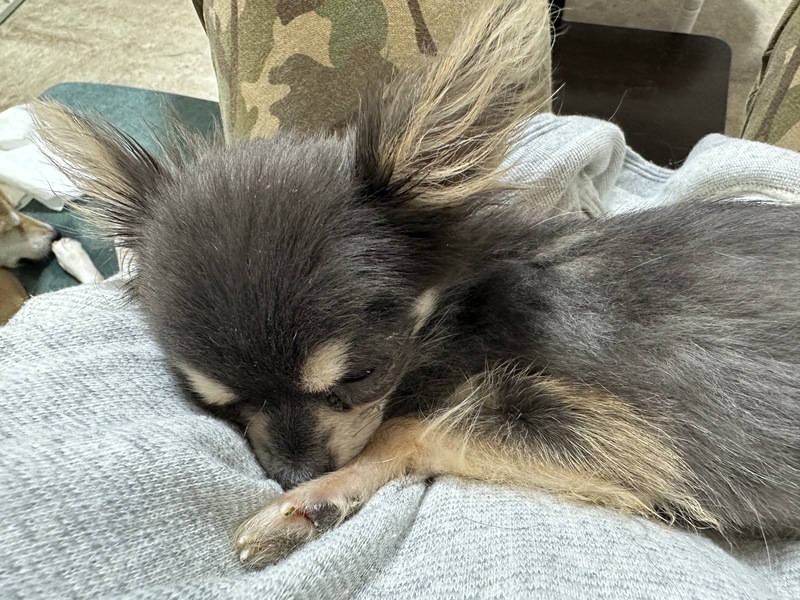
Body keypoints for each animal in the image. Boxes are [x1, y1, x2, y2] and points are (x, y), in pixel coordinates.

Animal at [34, 0, 799, 567]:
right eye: (216, 403)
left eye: (361, 375)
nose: (294, 474)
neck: (461, 314)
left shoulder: (628, 441)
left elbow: (412, 427)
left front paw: (313, 501)